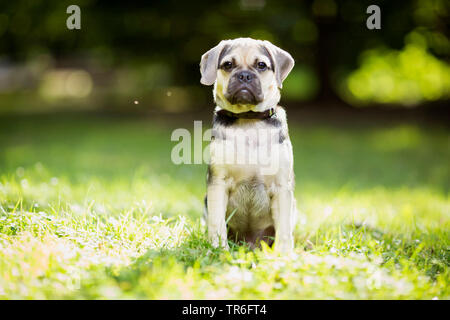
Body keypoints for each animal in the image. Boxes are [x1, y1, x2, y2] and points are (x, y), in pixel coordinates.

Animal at [200, 37, 298, 252]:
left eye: (261, 65)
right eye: (228, 65)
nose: (244, 76)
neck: (249, 120)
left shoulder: (281, 187)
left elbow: (284, 229)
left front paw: (284, 254)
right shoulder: (218, 183)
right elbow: (217, 223)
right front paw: (219, 250)